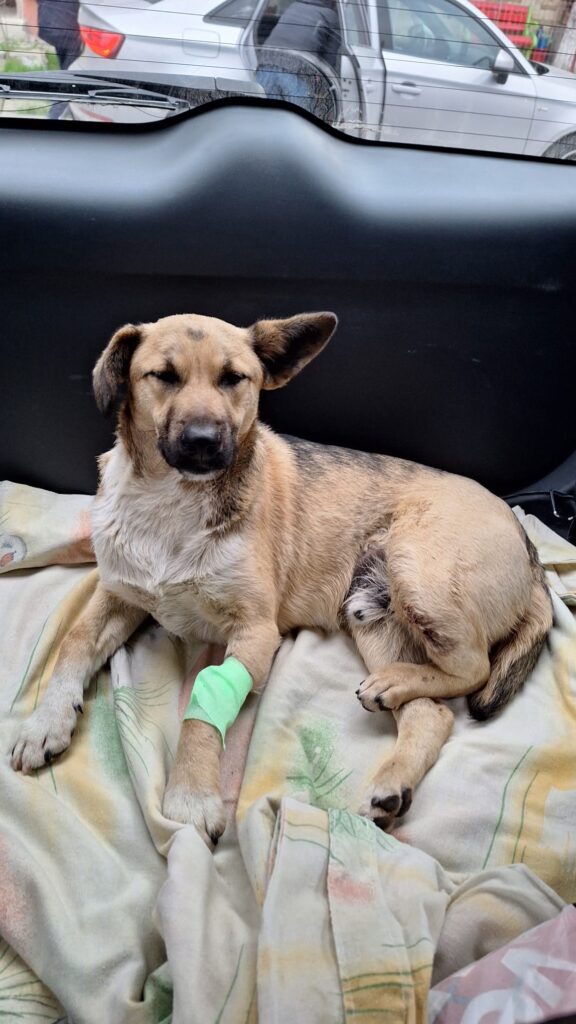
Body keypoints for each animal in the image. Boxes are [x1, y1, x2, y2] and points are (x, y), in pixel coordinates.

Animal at [10, 312, 553, 847]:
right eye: (162, 375)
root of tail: (528, 546)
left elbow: (205, 698)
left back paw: (398, 692)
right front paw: (45, 721)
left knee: (475, 667)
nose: (203, 441)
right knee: (433, 714)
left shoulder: (254, 632)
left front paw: (190, 795)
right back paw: (392, 776)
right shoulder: (120, 594)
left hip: (418, 573)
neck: (173, 502)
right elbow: (75, 642)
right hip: (373, 618)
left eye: (234, 378)